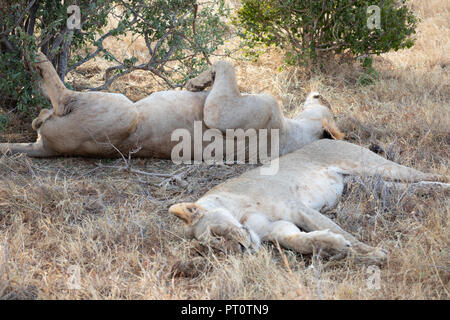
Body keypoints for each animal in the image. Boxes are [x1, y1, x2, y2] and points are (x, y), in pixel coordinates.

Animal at [0, 52, 342, 160]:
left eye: (323, 102)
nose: (317, 93)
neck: (293, 129)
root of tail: (47, 148)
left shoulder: (225, 113)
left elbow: (226, 63)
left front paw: (197, 82)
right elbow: (225, 64)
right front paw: (200, 81)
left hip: (122, 109)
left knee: (61, 96)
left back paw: (34, 52)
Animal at [170, 139, 450, 264]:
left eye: (216, 235)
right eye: (217, 251)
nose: (242, 250)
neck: (240, 211)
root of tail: (327, 137)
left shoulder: (298, 208)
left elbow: (344, 232)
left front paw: (373, 253)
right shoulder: (280, 230)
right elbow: (305, 242)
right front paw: (337, 247)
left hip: (374, 166)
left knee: (426, 174)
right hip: (375, 183)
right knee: (418, 187)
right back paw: (441, 192)